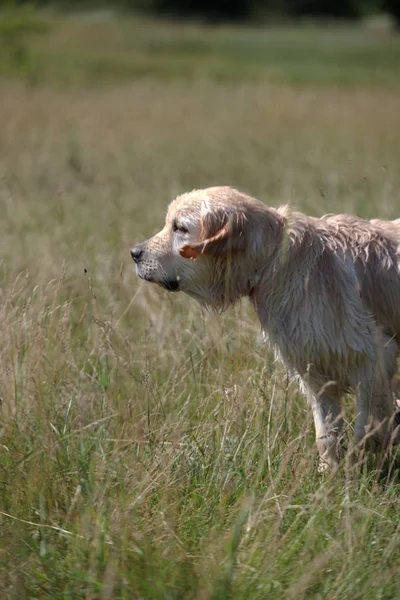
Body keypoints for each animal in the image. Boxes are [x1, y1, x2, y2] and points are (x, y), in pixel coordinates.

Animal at [130, 188, 400, 468]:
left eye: (180, 228)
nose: (134, 252)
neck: (274, 260)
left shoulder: (373, 360)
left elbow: (368, 430)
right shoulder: (316, 373)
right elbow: (327, 437)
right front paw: (329, 472)